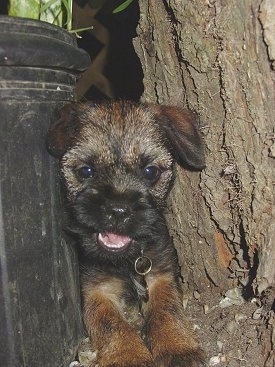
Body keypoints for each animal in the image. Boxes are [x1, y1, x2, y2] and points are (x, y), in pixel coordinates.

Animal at [47, 101, 207, 367]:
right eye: (86, 171)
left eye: (150, 171)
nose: (118, 210)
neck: (125, 260)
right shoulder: (96, 290)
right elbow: (112, 324)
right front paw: (128, 355)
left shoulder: (160, 275)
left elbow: (167, 310)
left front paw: (177, 346)